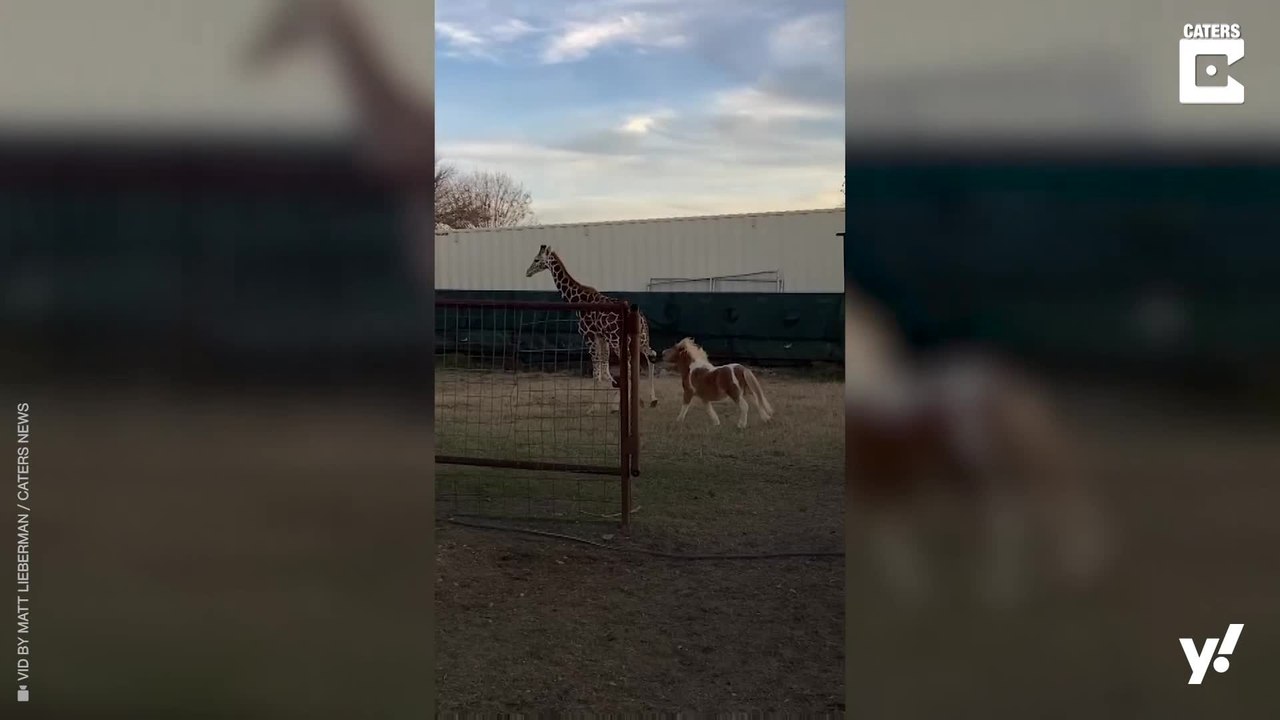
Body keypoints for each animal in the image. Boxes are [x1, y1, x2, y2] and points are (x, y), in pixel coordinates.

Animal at [525, 245, 659, 407]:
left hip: (618, 341)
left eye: (536, 259)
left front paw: (594, 406)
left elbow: (597, 371)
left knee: (629, 366)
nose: (527, 272)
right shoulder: (601, 336)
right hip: (641, 339)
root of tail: (641, 319)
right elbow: (605, 369)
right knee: (651, 356)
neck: (577, 299)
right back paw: (652, 398)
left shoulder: (589, 334)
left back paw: (620, 403)